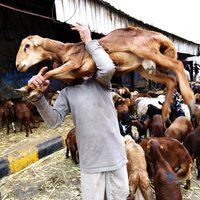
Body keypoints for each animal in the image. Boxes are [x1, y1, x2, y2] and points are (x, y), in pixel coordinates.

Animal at [16, 26, 195, 122]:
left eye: (27, 46)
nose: (18, 65)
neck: (65, 50)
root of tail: (161, 36)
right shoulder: (74, 73)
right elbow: (51, 74)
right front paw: (29, 89)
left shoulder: (74, 64)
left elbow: (50, 73)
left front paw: (30, 88)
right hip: (144, 68)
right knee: (170, 80)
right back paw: (164, 113)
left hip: (148, 51)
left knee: (179, 65)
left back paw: (190, 99)